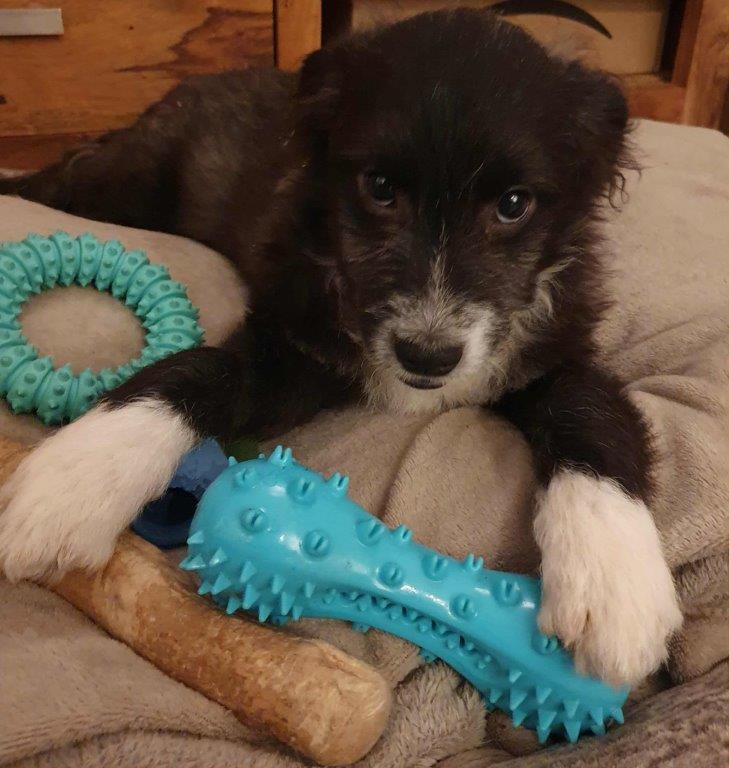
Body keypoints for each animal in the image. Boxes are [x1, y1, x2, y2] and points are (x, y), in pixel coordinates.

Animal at [0, 8, 681, 686]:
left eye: (515, 204)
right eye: (378, 187)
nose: (427, 356)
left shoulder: (556, 349)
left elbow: (591, 407)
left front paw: (614, 580)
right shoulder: (290, 345)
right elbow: (206, 368)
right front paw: (78, 478)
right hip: (128, 182)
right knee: (66, 173)